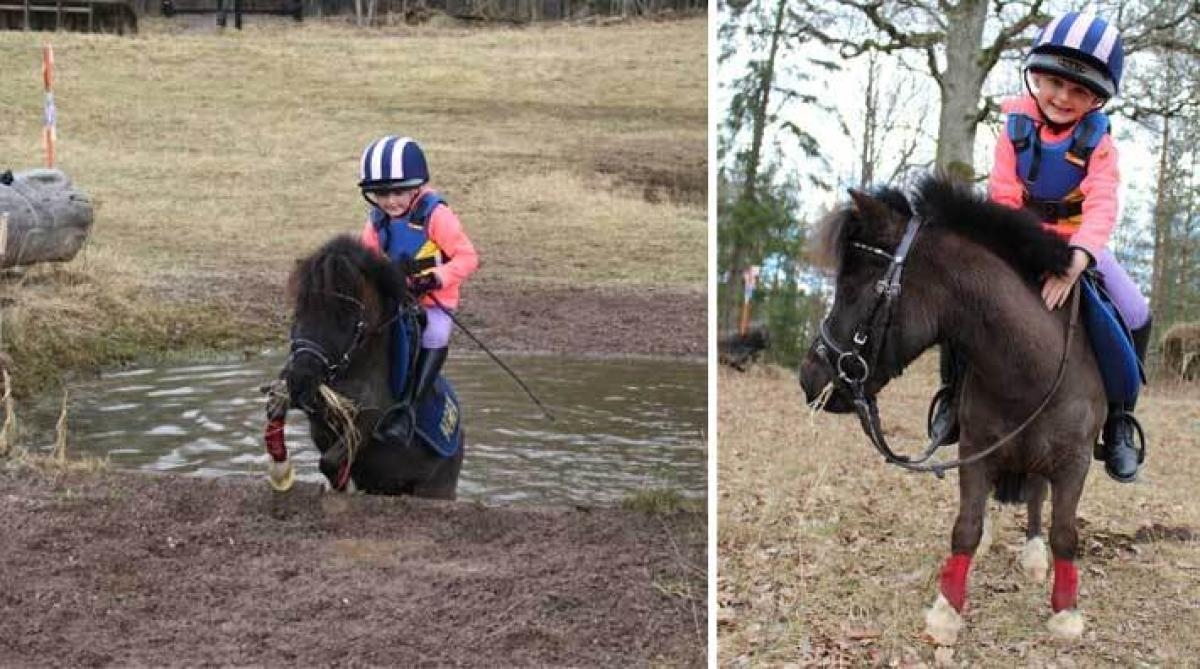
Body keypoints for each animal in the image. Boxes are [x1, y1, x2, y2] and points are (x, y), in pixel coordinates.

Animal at [266, 236, 458, 498]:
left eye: (344, 318)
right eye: (299, 310)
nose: (300, 379)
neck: (353, 366)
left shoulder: (367, 422)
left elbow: (329, 462)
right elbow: (276, 407)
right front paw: (281, 471)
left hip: (436, 488)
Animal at [801, 177, 1099, 647]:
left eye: (850, 289)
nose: (809, 377)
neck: (1030, 367)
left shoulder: (1075, 461)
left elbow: (1065, 533)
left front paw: (1066, 613)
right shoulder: (975, 451)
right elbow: (967, 526)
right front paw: (946, 612)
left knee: (1037, 496)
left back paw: (1034, 554)